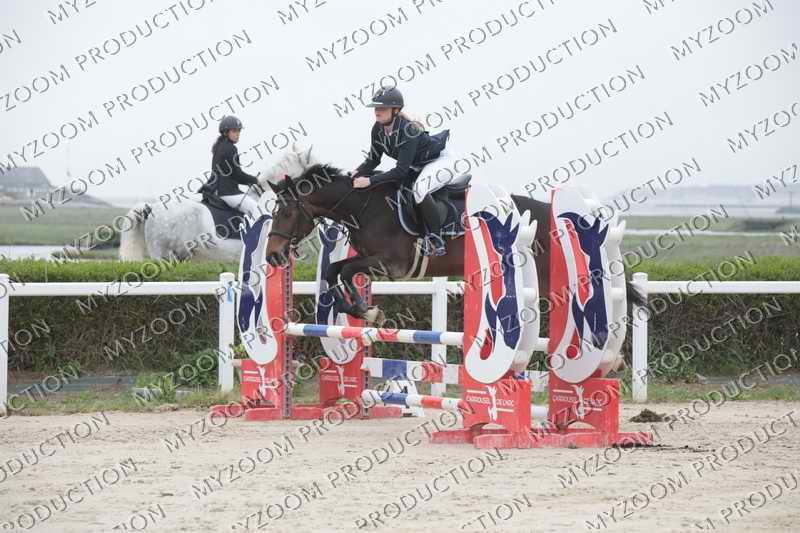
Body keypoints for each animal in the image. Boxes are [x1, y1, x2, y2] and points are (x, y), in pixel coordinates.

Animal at [264, 163, 646, 323]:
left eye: (287, 213)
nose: (273, 256)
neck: (364, 206)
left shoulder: (390, 264)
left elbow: (344, 272)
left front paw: (365, 309)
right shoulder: (369, 260)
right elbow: (333, 270)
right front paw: (358, 309)